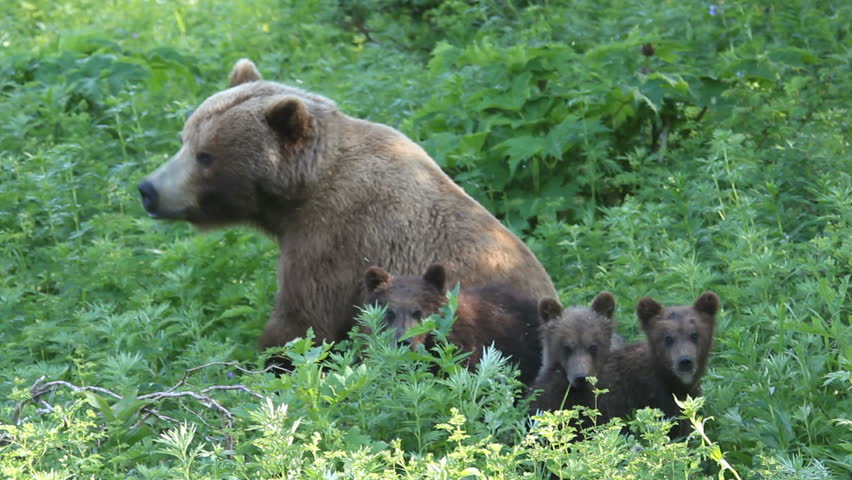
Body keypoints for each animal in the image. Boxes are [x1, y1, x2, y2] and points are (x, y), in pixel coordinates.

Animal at [137, 59, 558, 362]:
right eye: (184, 139)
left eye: (206, 155)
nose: (148, 189)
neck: (297, 198)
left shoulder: (334, 239)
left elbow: (302, 324)